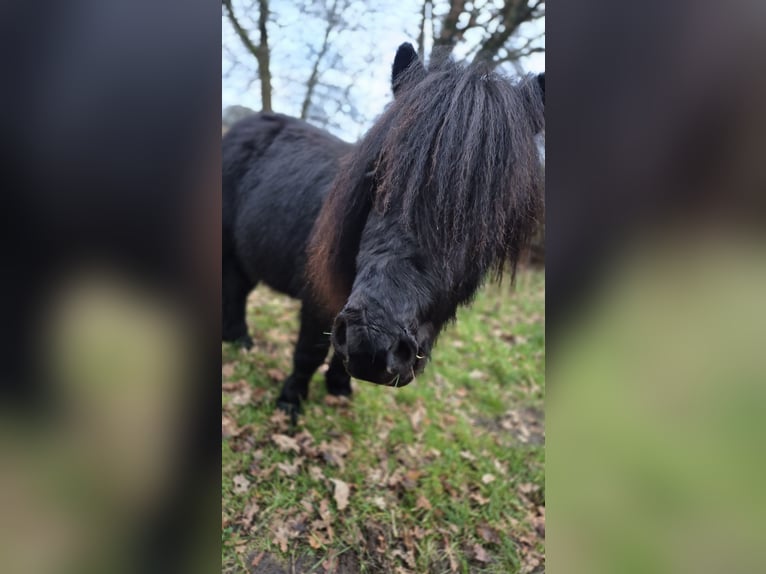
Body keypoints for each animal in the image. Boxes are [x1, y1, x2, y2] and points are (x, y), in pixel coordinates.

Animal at [222, 42, 544, 416]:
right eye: (377, 178)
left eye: (488, 214)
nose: (373, 343)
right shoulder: (317, 299)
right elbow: (309, 354)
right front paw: (290, 403)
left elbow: (337, 355)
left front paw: (339, 388)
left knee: (239, 288)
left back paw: (239, 341)